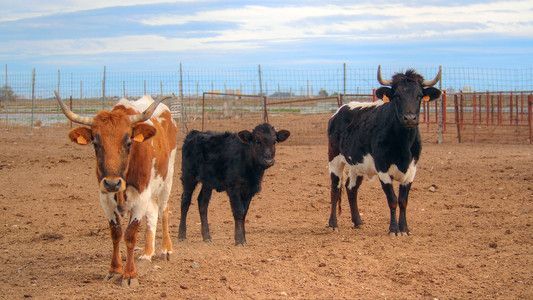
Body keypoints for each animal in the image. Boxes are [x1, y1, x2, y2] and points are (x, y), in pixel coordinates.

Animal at [55, 90, 178, 288]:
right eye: (96, 143)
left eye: (128, 142)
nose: (112, 183)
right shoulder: (105, 198)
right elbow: (116, 233)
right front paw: (114, 270)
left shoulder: (141, 196)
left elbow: (130, 235)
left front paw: (129, 274)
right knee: (152, 214)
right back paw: (147, 253)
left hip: (168, 177)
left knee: (163, 210)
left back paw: (166, 249)